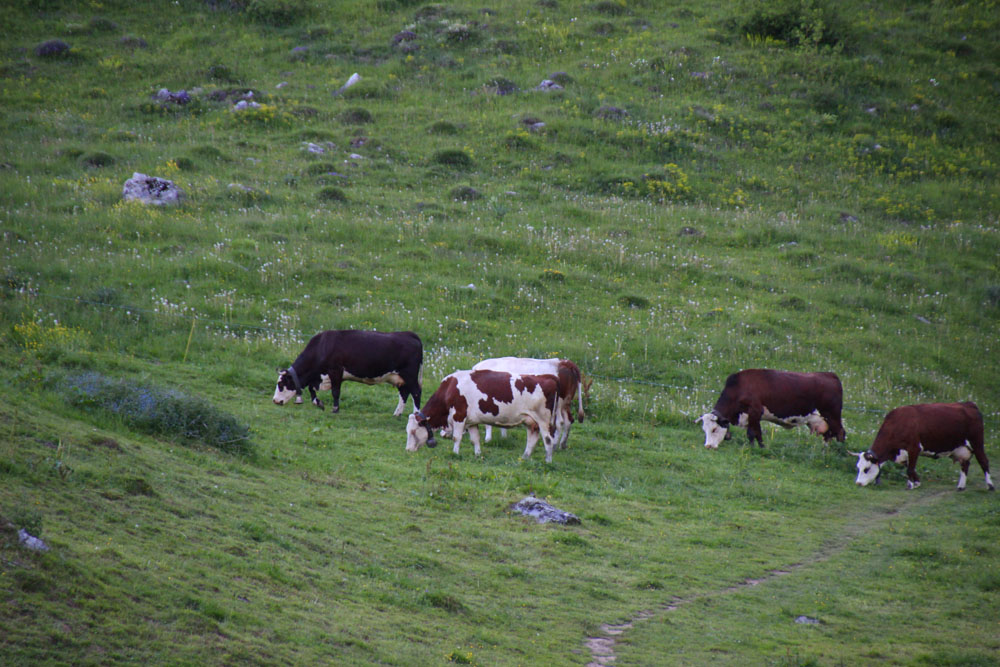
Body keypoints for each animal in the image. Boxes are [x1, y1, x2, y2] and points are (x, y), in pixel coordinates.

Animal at [272, 330, 423, 416]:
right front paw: (318, 403)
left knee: (416, 392)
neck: (323, 346)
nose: (274, 401)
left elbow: (335, 392)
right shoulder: (321, 376)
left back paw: (416, 415)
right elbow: (311, 388)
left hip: (410, 375)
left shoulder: (335, 371)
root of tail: (409, 334)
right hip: (399, 377)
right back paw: (397, 414)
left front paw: (335, 409)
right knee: (404, 392)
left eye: (281, 384)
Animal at [405, 369, 560, 462]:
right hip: (531, 421)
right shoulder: (471, 421)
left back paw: (548, 461)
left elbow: (457, 437)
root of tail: (547, 377)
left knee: (548, 440)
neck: (450, 389)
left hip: (544, 420)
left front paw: (455, 454)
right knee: (532, 440)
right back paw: (524, 458)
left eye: (413, 431)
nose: (407, 450)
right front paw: (478, 455)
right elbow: (475, 439)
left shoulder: (459, 416)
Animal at [698, 369, 846, 449]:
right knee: (828, 435)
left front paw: (759, 448)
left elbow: (753, 433)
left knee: (840, 433)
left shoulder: (755, 411)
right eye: (704, 429)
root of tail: (830, 375)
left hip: (832, 415)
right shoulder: (751, 416)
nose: (708, 446)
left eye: (714, 429)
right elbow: (754, 433)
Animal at [853, 401, 994, 491]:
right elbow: (909, 468)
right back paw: (961, 486)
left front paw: (915, 484)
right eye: (858, 468)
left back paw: (990, 486)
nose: (858, 483)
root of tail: (969, 404)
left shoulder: (914, 448)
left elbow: (910, 469)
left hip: (977, 442)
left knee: (984, 461)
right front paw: (912, 484)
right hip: (961, 448)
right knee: (965, 464)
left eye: (866, 469)